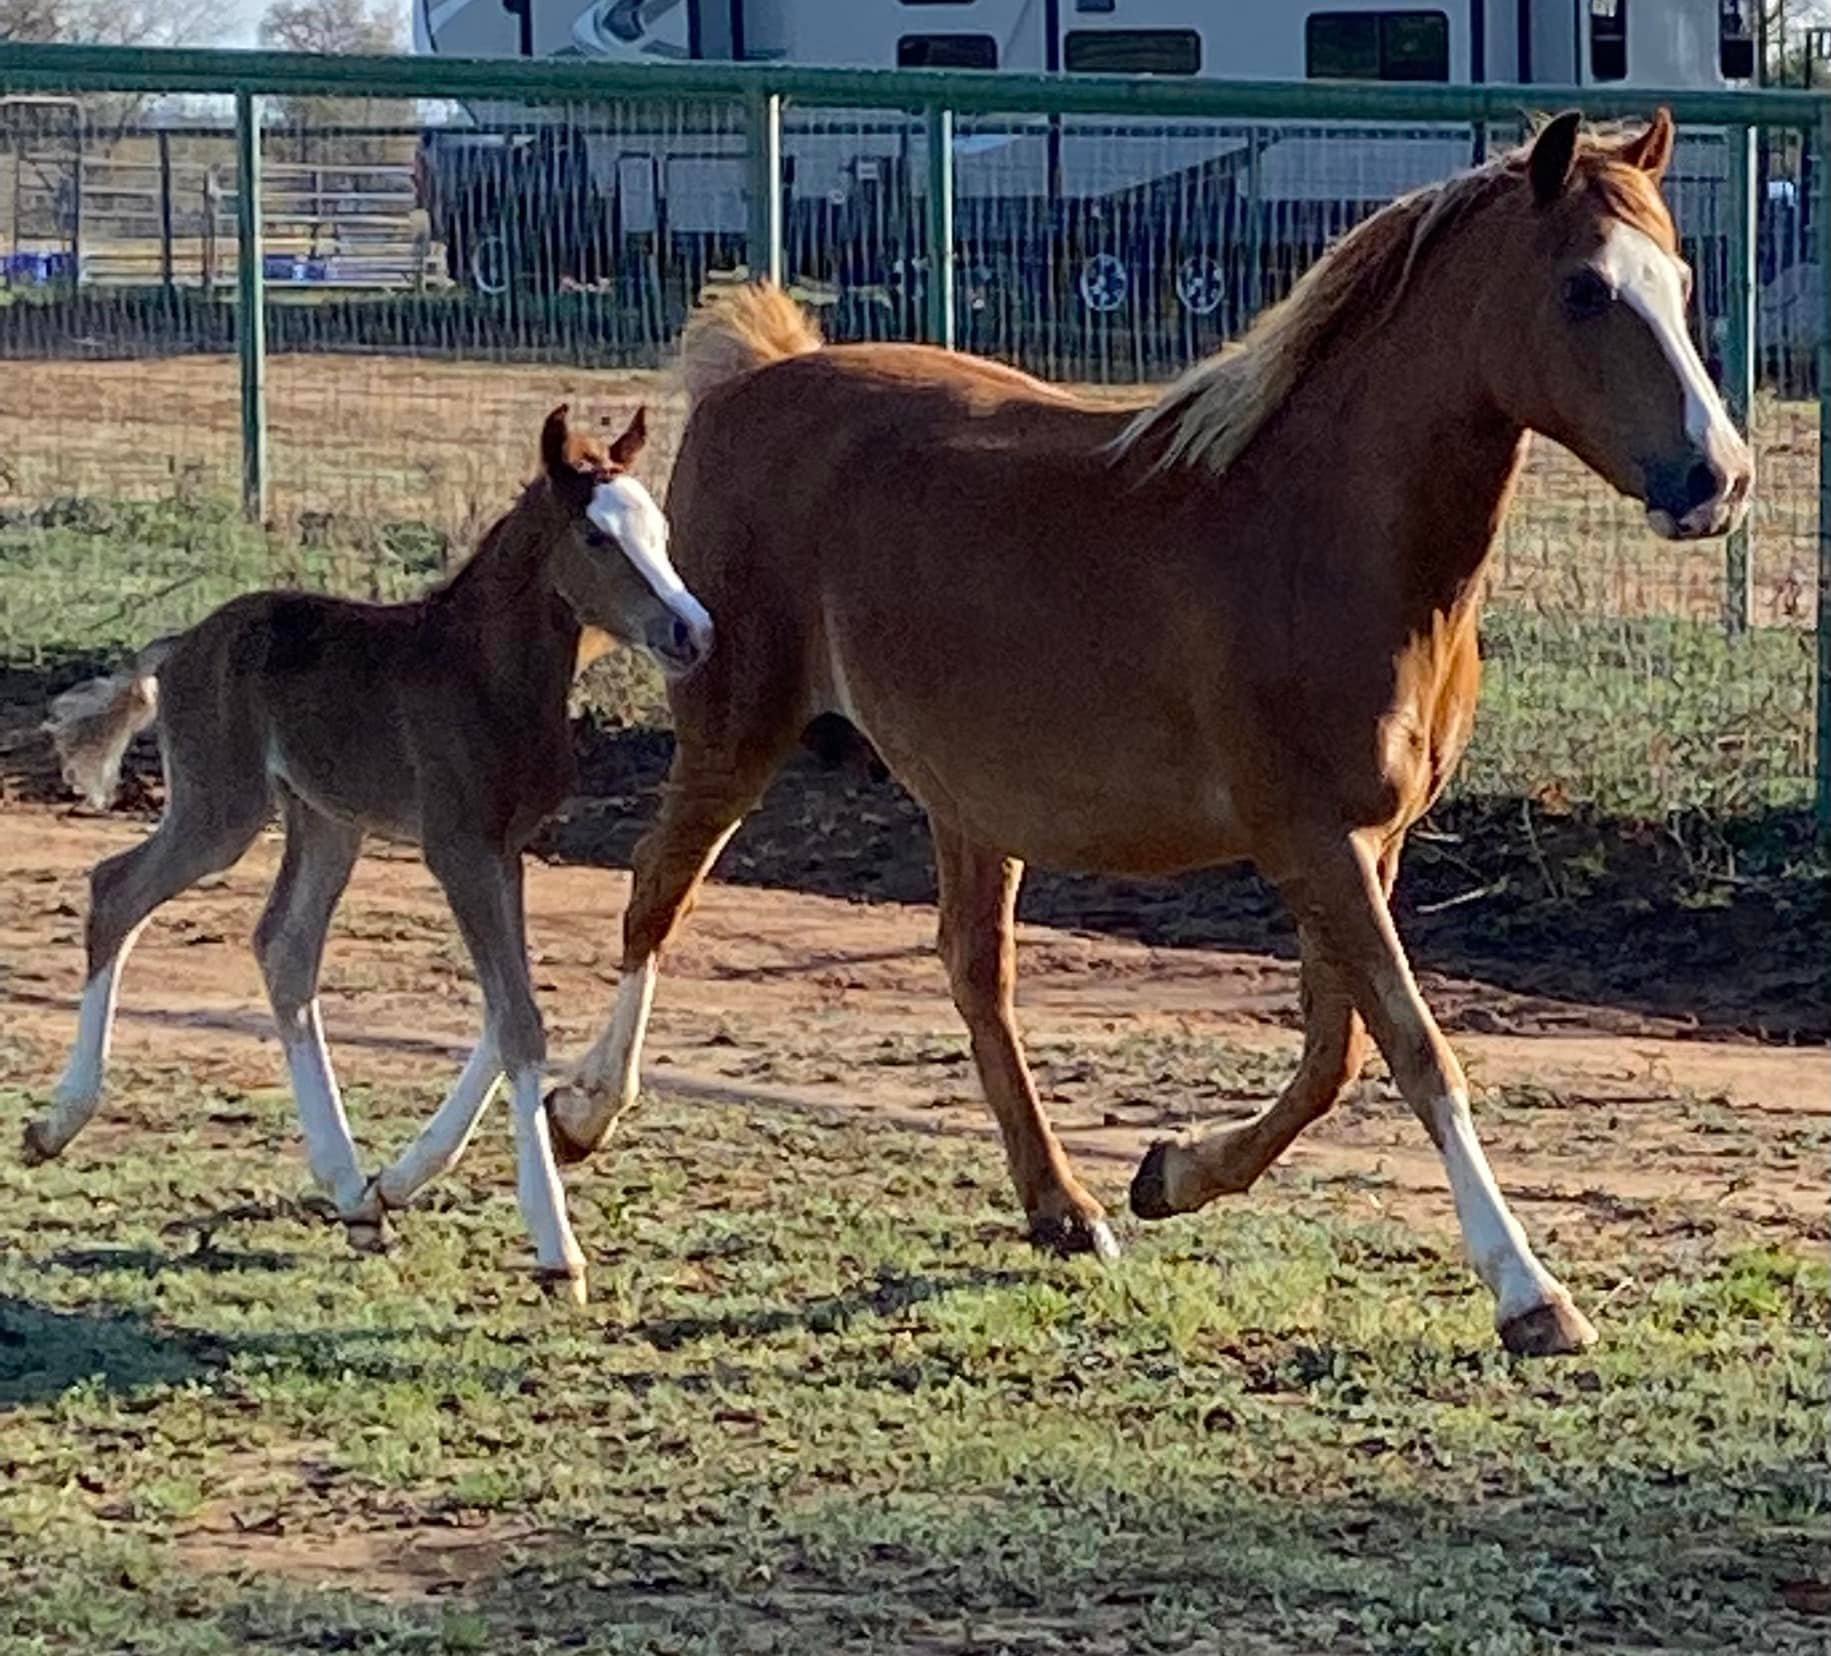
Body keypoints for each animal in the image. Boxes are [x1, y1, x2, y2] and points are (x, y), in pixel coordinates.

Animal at [27, 406, 711, 1305]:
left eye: (662, 532)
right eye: (596, 537)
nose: (692, 632)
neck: (484, 674)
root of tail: (180, 643)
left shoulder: (507, 851)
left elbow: (509, 1006)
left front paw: (398, 1183)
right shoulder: (458, 850)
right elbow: (517, 1019)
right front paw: (557, 1250)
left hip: (325, 821)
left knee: (284, 948)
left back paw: (352, 1193)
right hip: (223, 808)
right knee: (116, 892)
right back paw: (58, 1122)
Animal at [546, 111, 1750, 1356]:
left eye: (1679, 282)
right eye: (1585, 291)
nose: (1716, 478)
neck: (1319, 534)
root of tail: (755, 377)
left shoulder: (1368, 844)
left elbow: (1335, 1052)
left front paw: (1170, 1174)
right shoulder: (1311, 841)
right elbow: (1414, 1046)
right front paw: (1528, 1293)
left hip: (969, 798)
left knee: (975, 973)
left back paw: (1064, 1208)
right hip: (733, 728)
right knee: (656, 896)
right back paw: (580, 1112)